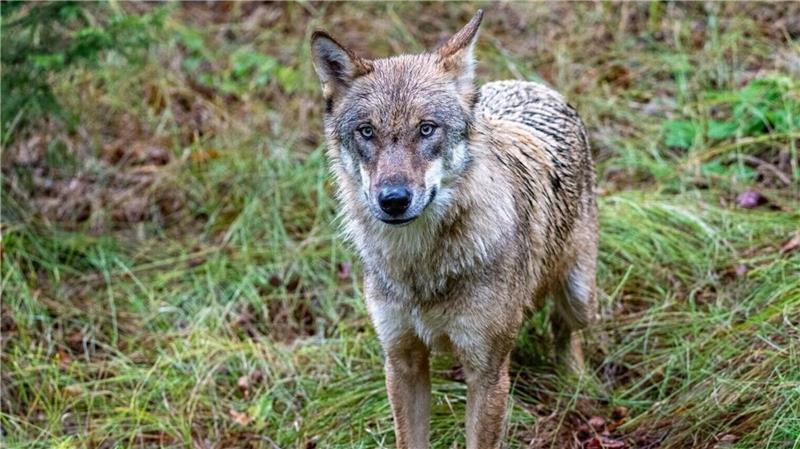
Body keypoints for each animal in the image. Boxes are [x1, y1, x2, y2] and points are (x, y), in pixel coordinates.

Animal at [310, 9, 598, 449]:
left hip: (580, 296)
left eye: (427, 129)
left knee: (566, 329)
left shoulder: (488, 374)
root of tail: (530, 85)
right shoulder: (402, 361)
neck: (420, 267)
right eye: (367, 132)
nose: (393, 199)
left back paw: (577, 381)